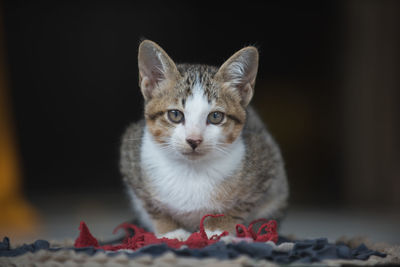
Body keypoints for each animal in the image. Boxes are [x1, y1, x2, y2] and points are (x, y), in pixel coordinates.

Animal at [120, 40, 290, 242]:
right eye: (175, 115)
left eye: (215, 116)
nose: (194, 140)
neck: (191, 170)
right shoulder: (130, 159)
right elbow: (152, 206)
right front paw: (170, 231)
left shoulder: (266, 161)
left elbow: (240, 206)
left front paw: (217, 229)